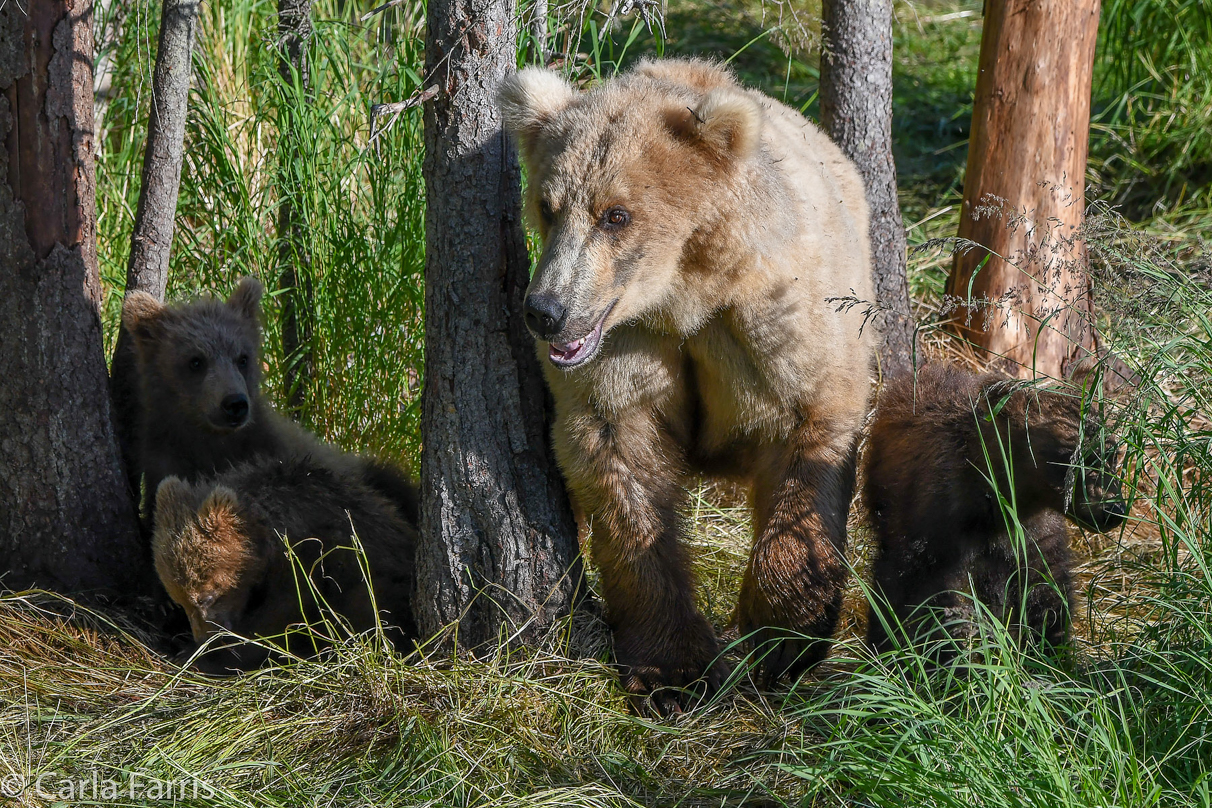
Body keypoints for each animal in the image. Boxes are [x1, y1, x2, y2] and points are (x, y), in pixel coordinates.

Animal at [496, 59, 877, 712]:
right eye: (547, 204)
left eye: (615, 213)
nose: (546, 311)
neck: (685, 295)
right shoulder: (628, 347)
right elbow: (625, 467)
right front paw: (672, 670)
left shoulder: (774, 323)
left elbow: (809, 440)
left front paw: (783, 638)